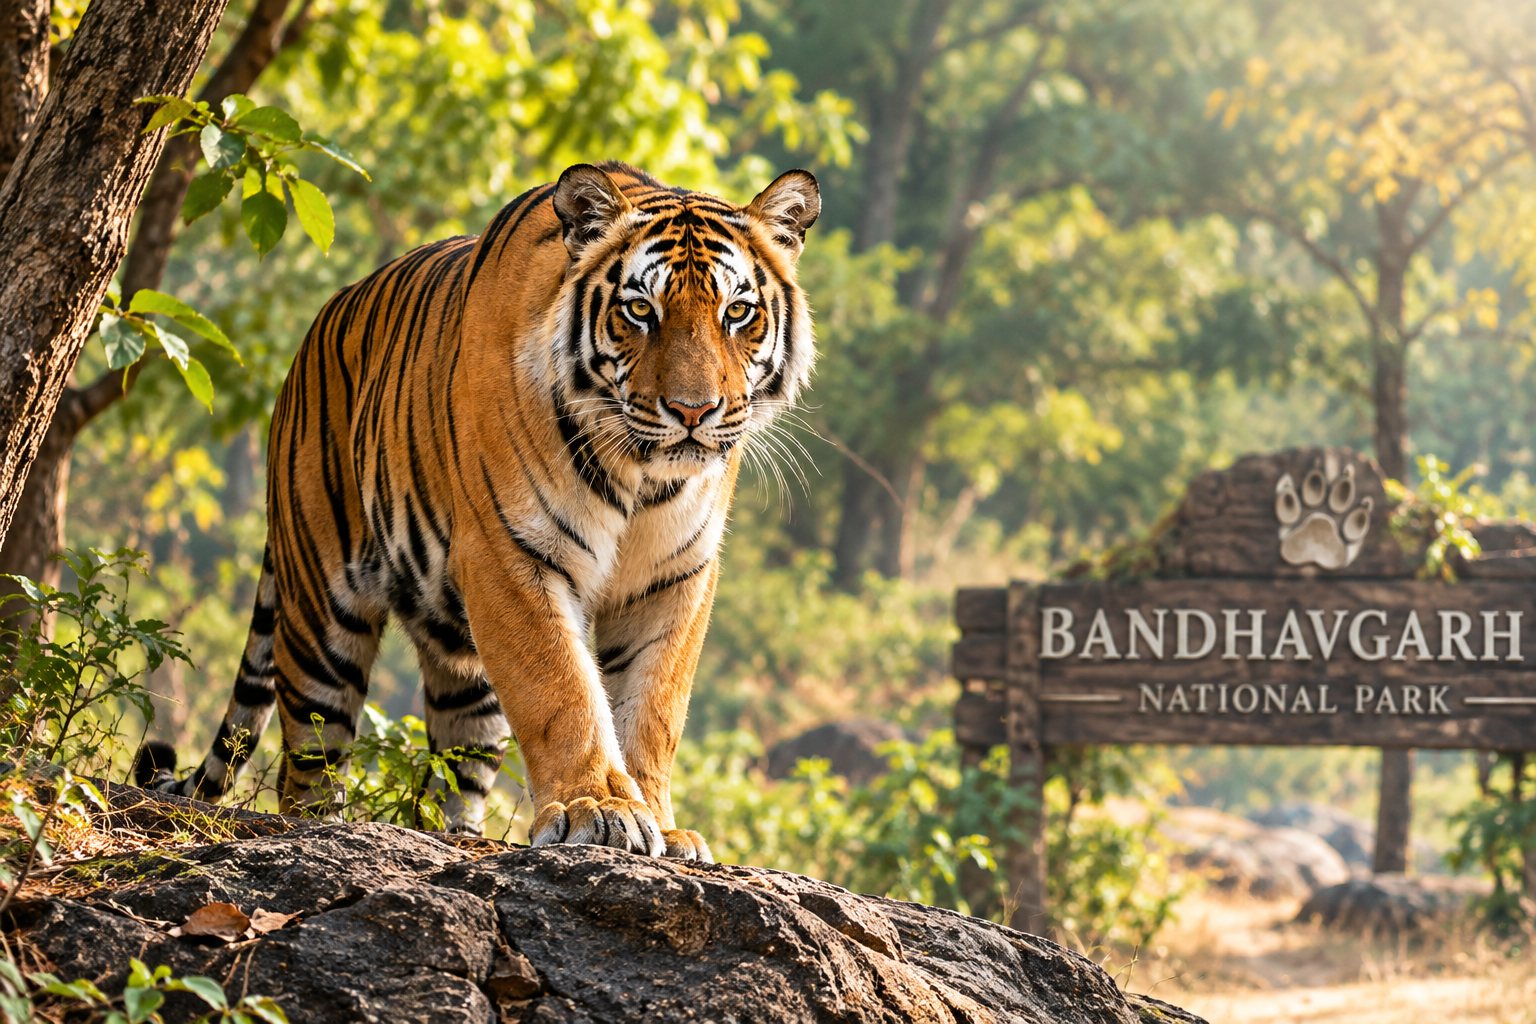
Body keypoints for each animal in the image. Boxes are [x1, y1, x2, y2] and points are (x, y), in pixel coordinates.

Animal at [134, 161, 820, 860]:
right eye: (639, 310)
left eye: (737, 312)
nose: (693, 411)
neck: (642, 476)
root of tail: (312, 336)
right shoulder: (510, 554)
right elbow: (561, 690)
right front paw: (599, 808)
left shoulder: (675, 578)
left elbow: (653, 709)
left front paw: (662, 823)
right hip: (321, 613)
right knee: (309, 762)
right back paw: (322, 831)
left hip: (462, 663)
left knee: (457, 764)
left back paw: (461, 840)